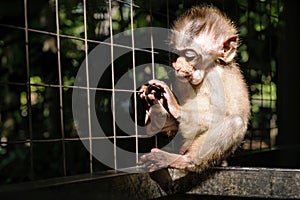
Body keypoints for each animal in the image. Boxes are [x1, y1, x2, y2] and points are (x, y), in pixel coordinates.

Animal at [138, 5, 251, 173]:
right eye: (176, 54)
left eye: (189, 56)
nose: (177, 67)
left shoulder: (216, 75)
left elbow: (222, 114)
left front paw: (176, 107)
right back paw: (157, 120)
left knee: (234, 122)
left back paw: (186, 160)